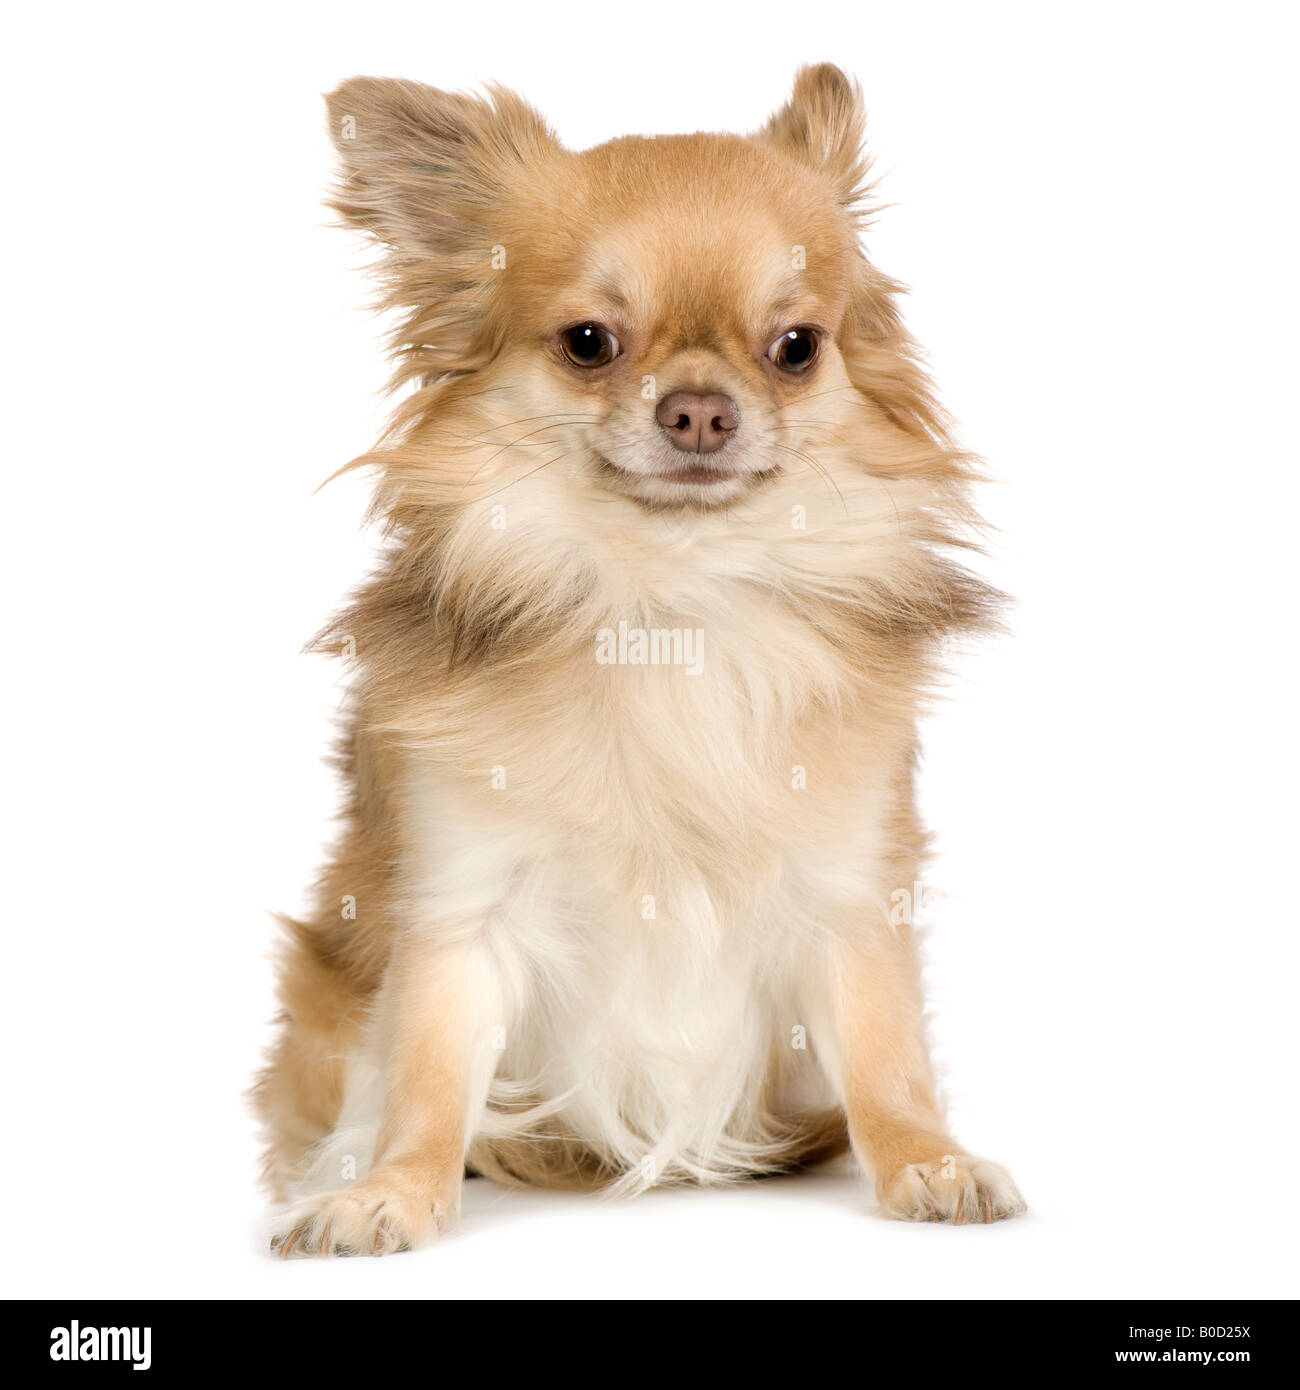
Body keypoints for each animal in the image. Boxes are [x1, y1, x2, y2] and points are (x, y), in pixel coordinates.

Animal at [257, 67, 1028, 1262]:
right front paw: (390, 1190)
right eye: (588, 342)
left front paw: (925, 1159)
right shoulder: (460, 908)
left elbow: (886, 1053)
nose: (700, 409)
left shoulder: (849, 892)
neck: (668, 601)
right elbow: (427, 1076)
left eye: (797, 346)